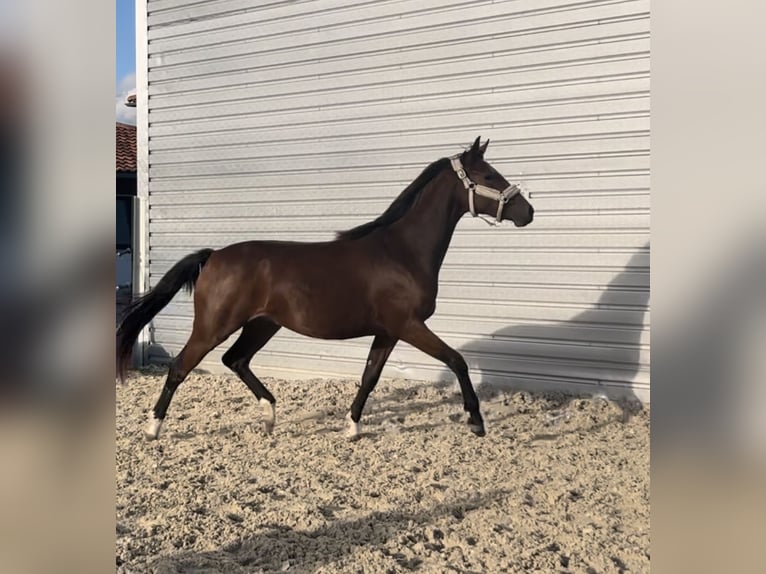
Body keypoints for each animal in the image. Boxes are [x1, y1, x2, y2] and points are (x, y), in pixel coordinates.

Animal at [117, 138, 536, 440]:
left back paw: (270, 416)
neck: (401, 250)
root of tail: (214, 255)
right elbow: (457, 361)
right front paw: (476, 420)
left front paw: (352, 428)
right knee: (181, 366)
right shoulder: (410, 326)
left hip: (262, 324)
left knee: (235, 360)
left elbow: (370, 377)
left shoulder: (388, 332)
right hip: (214, 326)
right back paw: (153, 428)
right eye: (489, 176)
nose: (528, 212)